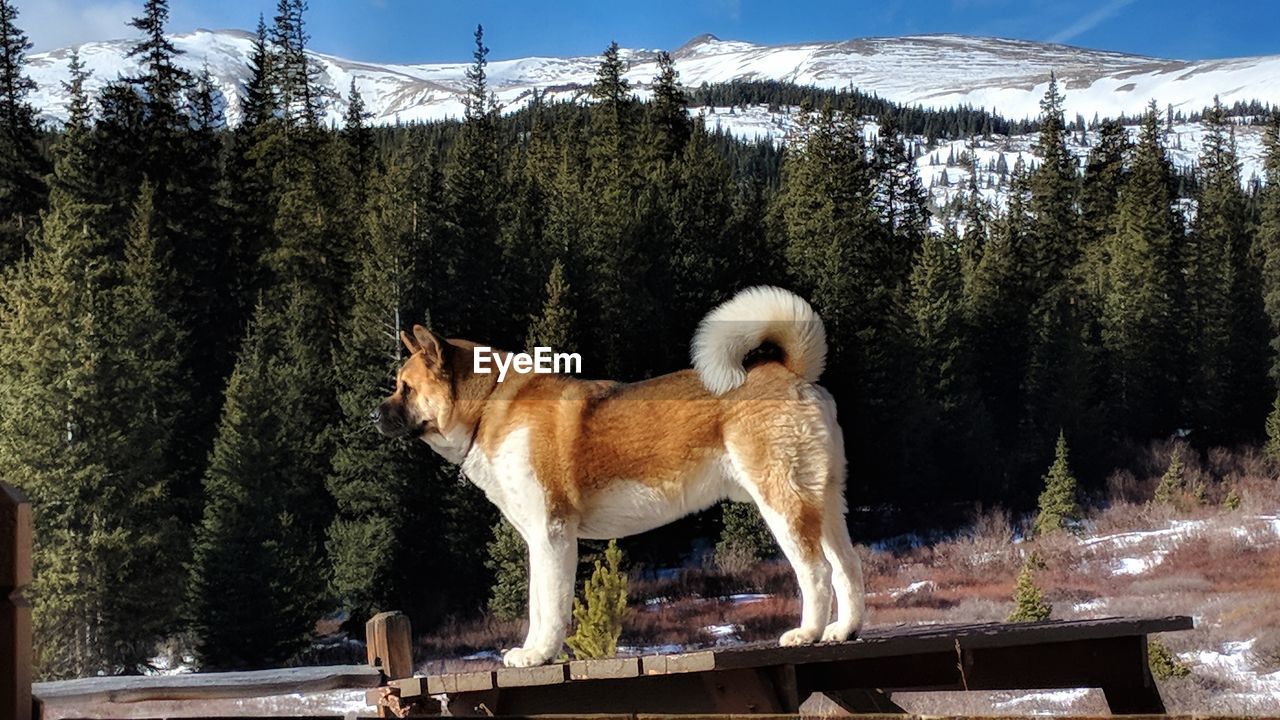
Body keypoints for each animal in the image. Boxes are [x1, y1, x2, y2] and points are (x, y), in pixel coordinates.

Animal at [373, 283, 865, 666]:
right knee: (848, 566)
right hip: (825, 503)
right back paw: (844, 630)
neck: (490, 404)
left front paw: (539, 654)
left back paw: (808, 633)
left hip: (782, 503)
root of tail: (793, 373)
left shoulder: (553, 535)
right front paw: (530, 652)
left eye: (405, 388)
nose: (373, 414)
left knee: (817, 571)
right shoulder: (538, 539)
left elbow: (549, 607)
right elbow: (536, 605)